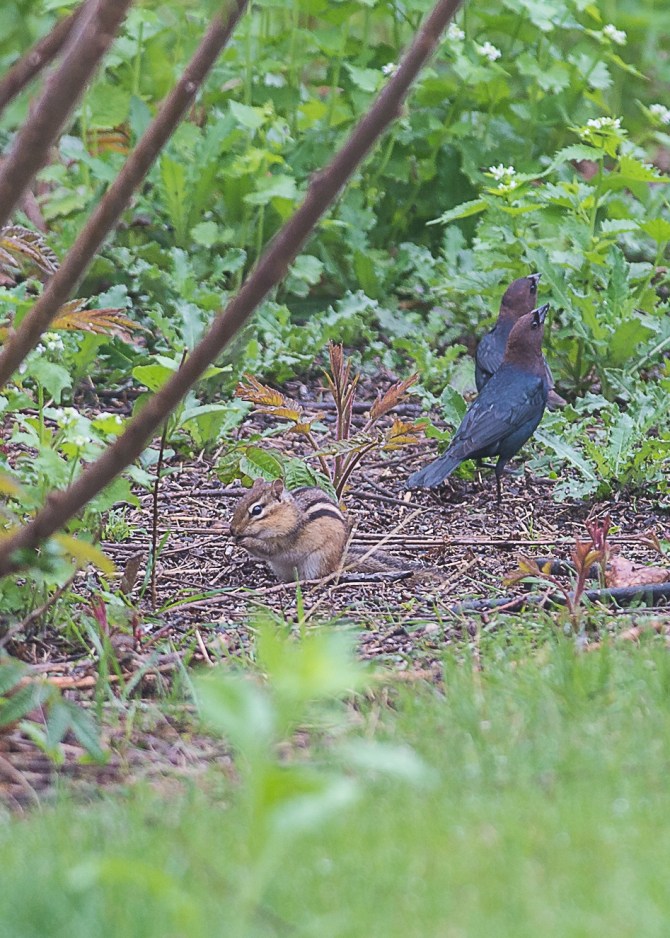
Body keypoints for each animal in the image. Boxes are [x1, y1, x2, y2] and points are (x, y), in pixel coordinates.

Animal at [229, 477, 430, 583]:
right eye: (240, 502)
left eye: (257, 510)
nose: (232, 530)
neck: (291, 515)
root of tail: (339, 559)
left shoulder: (285, 538)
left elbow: (269, 548)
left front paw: (245, 540)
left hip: (317, 560)